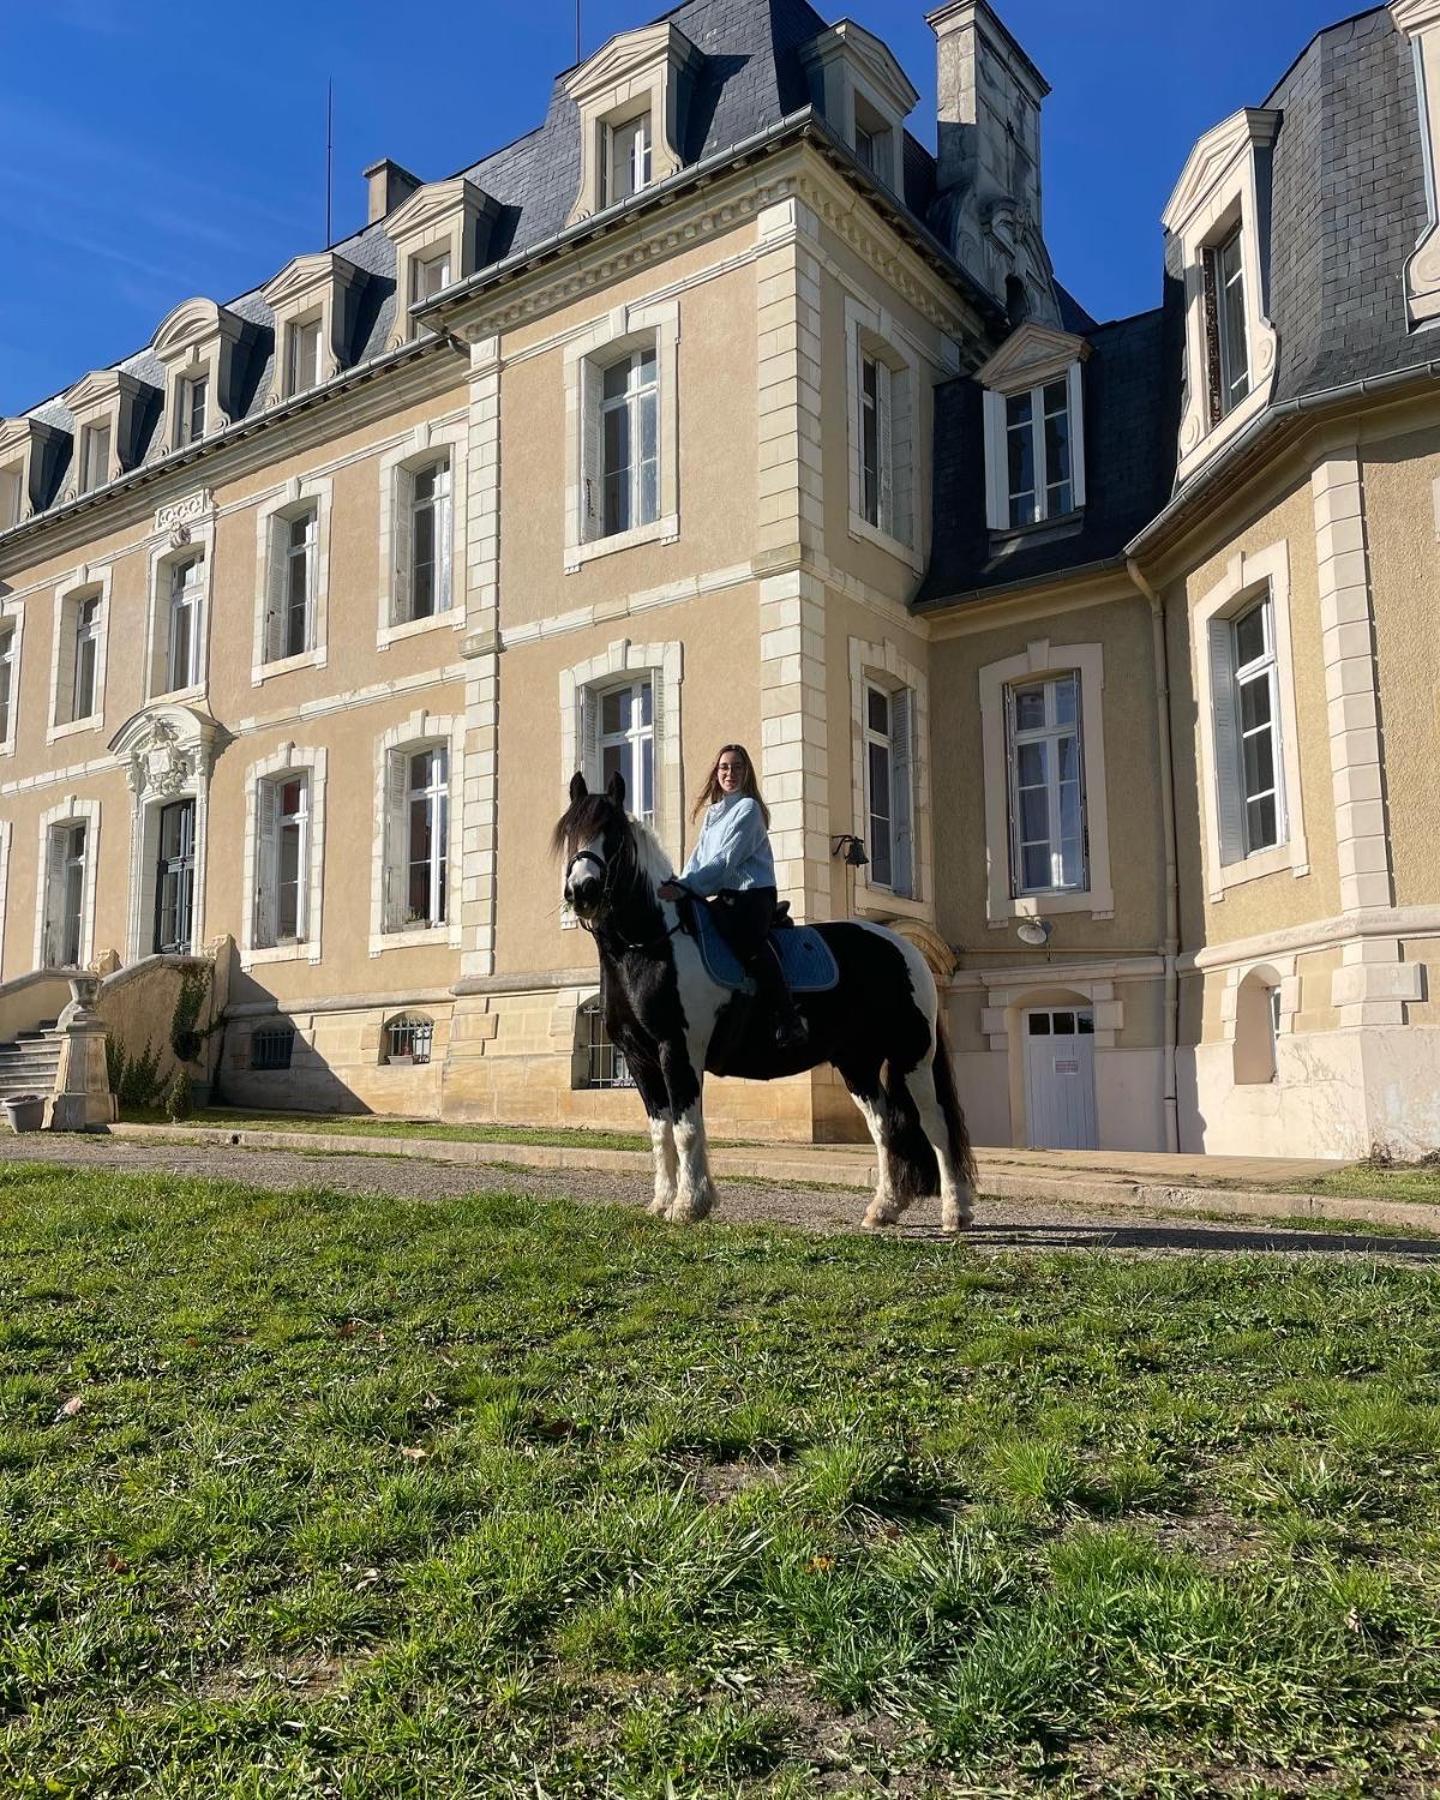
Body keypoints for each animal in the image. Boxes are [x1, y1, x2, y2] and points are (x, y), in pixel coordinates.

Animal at [554, 766, 979, 1231]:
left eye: (611, 832)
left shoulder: (677, 1050)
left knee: (935, 1124)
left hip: (911, 1056)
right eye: (570, 832)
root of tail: (905, 948)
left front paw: (689, 1205)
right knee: (884, 1127)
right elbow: (660, 1132)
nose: (582, 891)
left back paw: (955, 1212)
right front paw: (663, 1202)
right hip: (858, 1062)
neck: (651, 944)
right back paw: (882, 1209)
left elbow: (686, 1129)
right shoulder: (638, 1059)